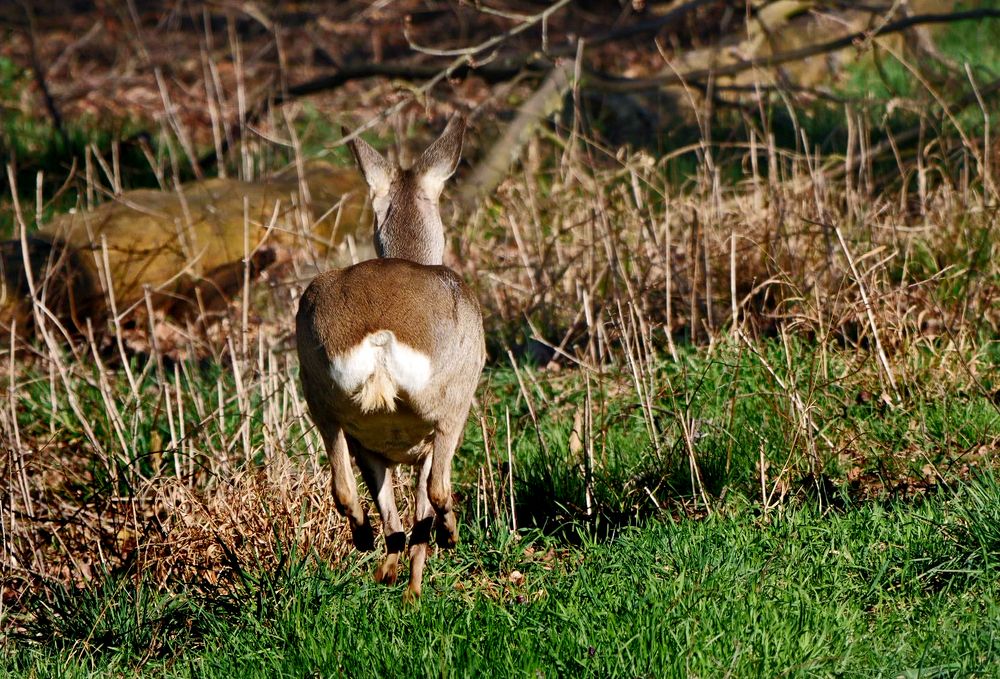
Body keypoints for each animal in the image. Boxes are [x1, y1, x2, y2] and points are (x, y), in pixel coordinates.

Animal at [294, 115, 486, 600]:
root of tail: (380, 335)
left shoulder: (375, 445)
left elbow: (391, 510)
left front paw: (392, 575)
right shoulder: (426, 441)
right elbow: (421, 508)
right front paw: (414, 593)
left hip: (322, 397)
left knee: (345, 488)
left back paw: (368, 546)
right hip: (452, 401)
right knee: (437, 491)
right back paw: (449, 537)